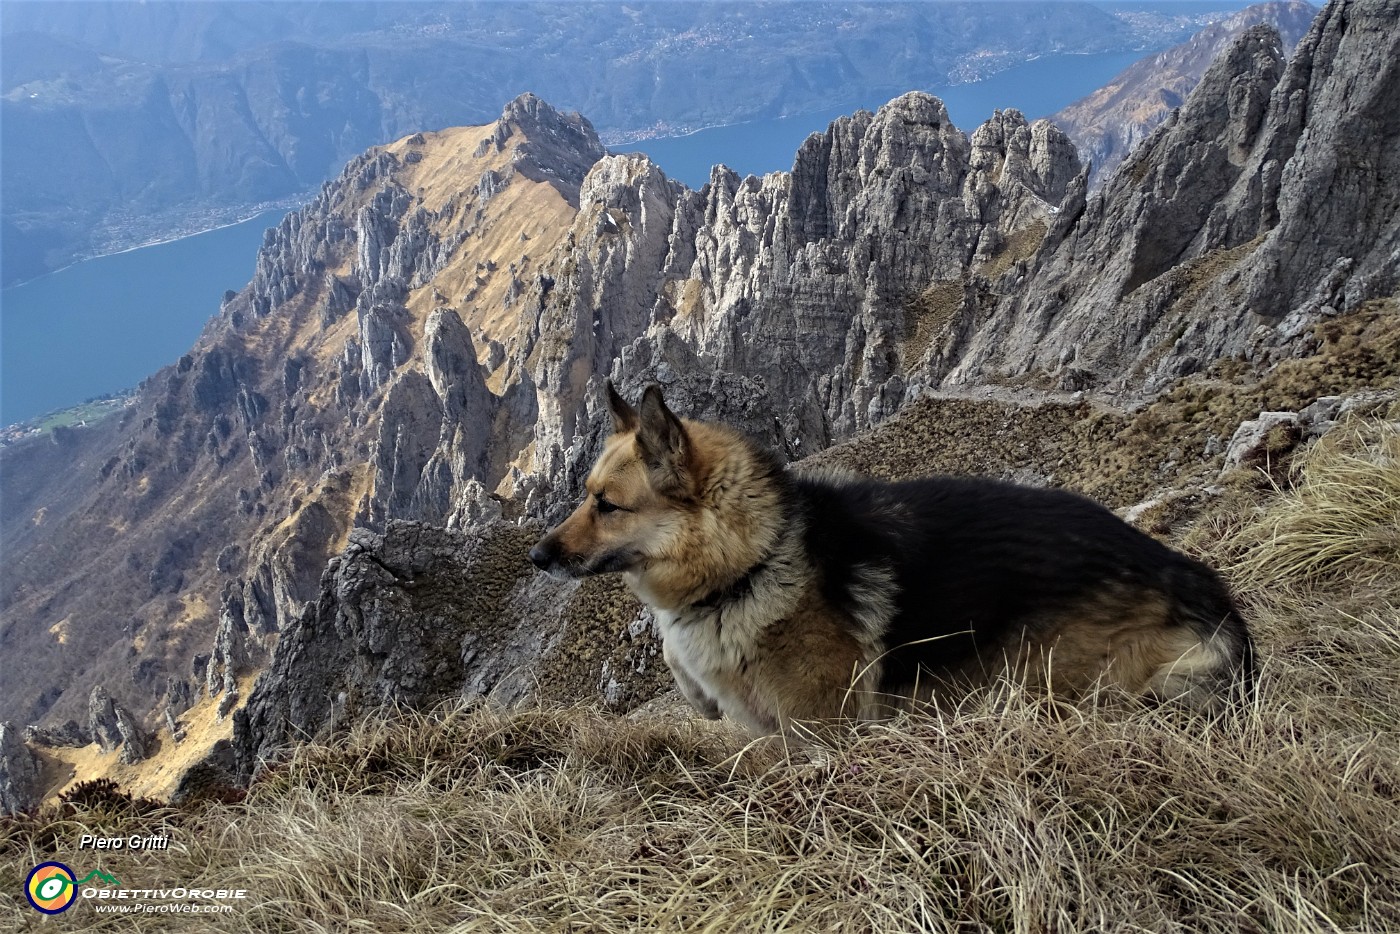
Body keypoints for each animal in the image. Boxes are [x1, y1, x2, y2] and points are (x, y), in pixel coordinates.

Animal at [529, 380, 1254, 739]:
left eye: (606, 504)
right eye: (583, 494)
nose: (538, 556)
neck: (756, 557)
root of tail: (1207, 594)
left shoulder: (820, 731)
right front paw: (696, 692)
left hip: (1043, 671)